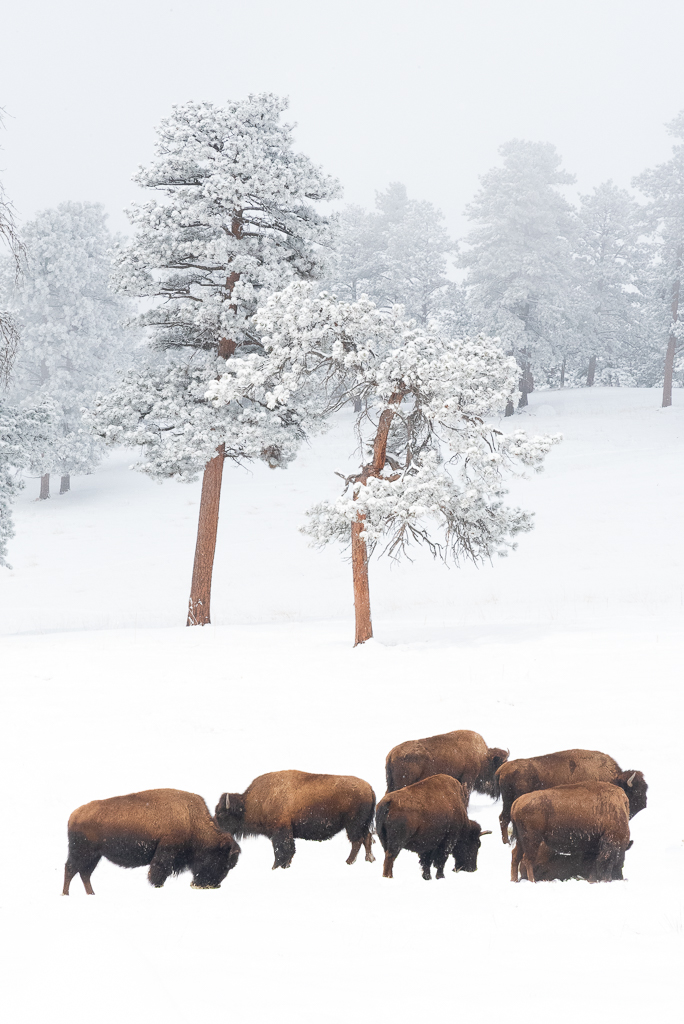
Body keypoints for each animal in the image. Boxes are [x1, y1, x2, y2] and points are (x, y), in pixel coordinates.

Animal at [63, 788, 240, 894]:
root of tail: (74, 815)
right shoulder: (164, 855)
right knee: (71, 869)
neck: (191, 820)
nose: (210, 885)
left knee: (84, 873)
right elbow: (157, 874)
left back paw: (91, 894)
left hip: (94, 855)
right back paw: (66, 894)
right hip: (81, 852)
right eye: (223, 862)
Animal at [215, 770, 376, 869]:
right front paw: (285, 865)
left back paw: (349, 861)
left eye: (222, 814)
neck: (250, 803)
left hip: (353, 824)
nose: (216, 829)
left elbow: (282, 851)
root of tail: (369, 788)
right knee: (366, 837)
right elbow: (288, 851)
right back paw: (369, 859)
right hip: (362, 824)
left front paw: (275, 867)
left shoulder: (280, 831)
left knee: (357, 841)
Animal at [496, 748, 648, 843]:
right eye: (637, 793)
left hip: (508, 801)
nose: (644, 805)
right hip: (510, 801)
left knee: (503, 818)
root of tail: (503, 769)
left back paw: (506, 842)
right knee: (504, 818)